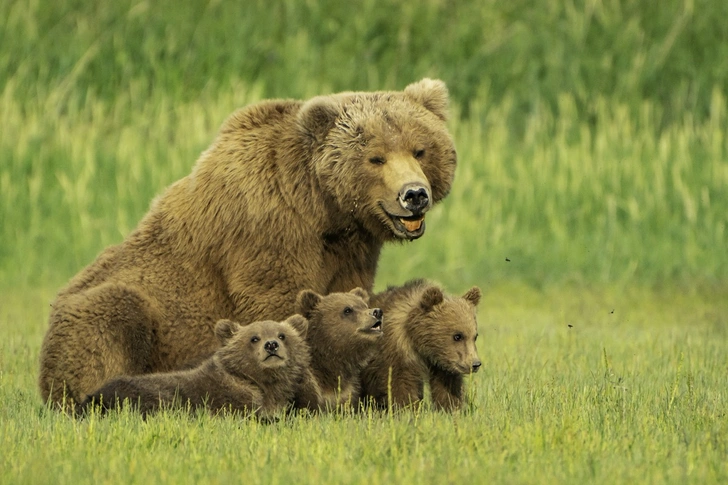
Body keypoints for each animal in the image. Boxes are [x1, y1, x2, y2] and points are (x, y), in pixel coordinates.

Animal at [38, 77, 456, 406]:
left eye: (420, 149)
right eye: (376, 158)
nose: (414, 194)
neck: (323, 209)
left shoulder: (350, 250)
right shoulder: (266, 234)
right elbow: (277, 305)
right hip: (120, 305)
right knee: (108, 325)